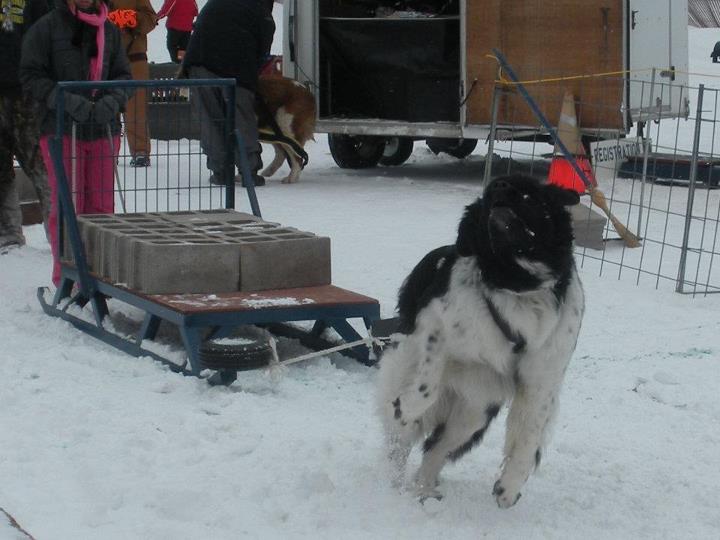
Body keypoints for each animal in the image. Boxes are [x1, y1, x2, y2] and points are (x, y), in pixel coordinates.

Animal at [376, 176, 584, 506]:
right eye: (488, 193)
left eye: (529, 194)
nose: (498, 187)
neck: (517, 285)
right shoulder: (434, 324)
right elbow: (425, 388)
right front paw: (406, 406)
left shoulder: (543, 378)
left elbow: (528, 436)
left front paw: (508, 487)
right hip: (406, 375)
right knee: (400, 443)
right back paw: (393, 490)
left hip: (474, 412)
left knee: (435, 449)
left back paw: (424, 492)